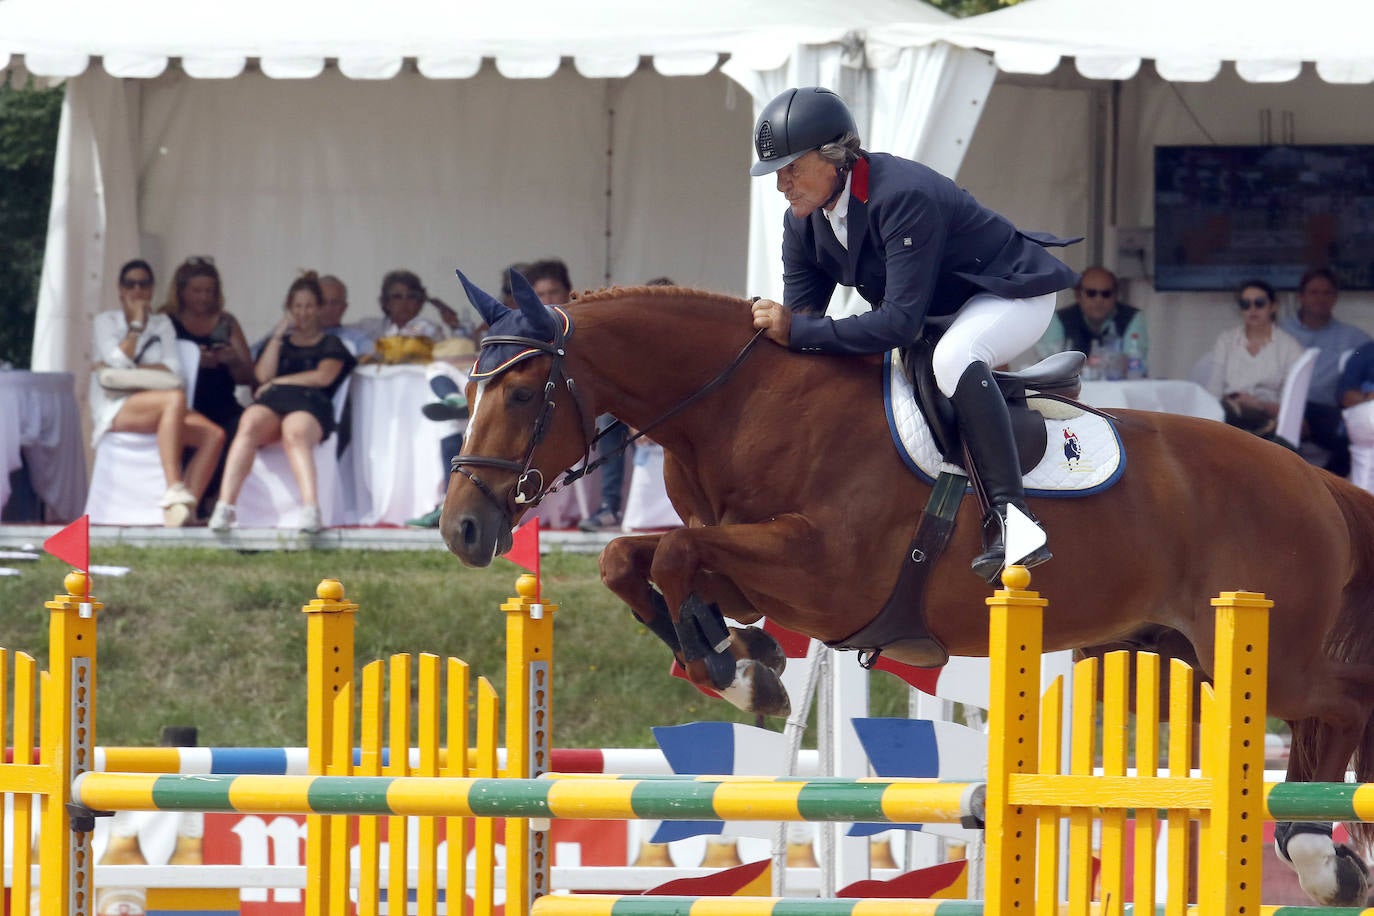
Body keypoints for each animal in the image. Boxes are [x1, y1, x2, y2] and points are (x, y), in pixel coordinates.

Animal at [442, 271, 1374, 911]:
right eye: (470, 390)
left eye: (520, 390)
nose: (462, 529)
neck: (739, 405)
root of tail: (1312, 478)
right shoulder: (757, 564)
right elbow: (631, 561)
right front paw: (742, 660)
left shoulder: (824, 573)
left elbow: (670, 554)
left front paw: (733, 665)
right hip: (1171, 660)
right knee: (1317, 727)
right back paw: (1323, 853)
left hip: (1263, 654)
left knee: (1341, 704)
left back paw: (1325, 852)